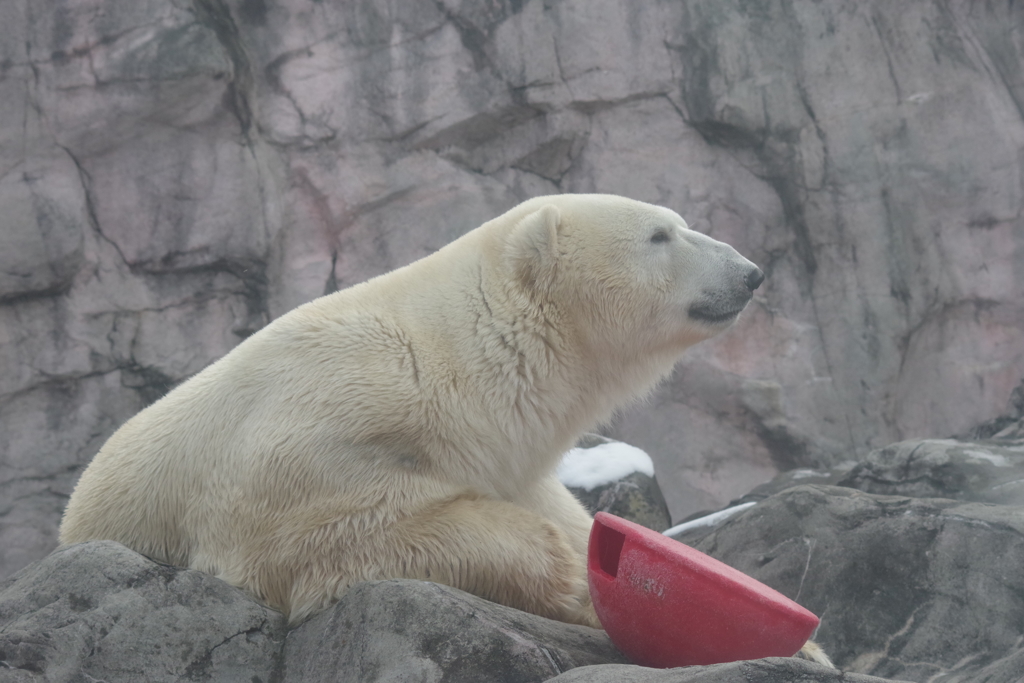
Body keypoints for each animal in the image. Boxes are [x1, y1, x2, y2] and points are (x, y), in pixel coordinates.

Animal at [56, 192, 761, 630]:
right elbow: (324, 535)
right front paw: (560, 574)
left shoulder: (509, 459)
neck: (455, 365)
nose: (750, 271)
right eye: (659, 234)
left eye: (675, 222)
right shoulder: (311, 438)